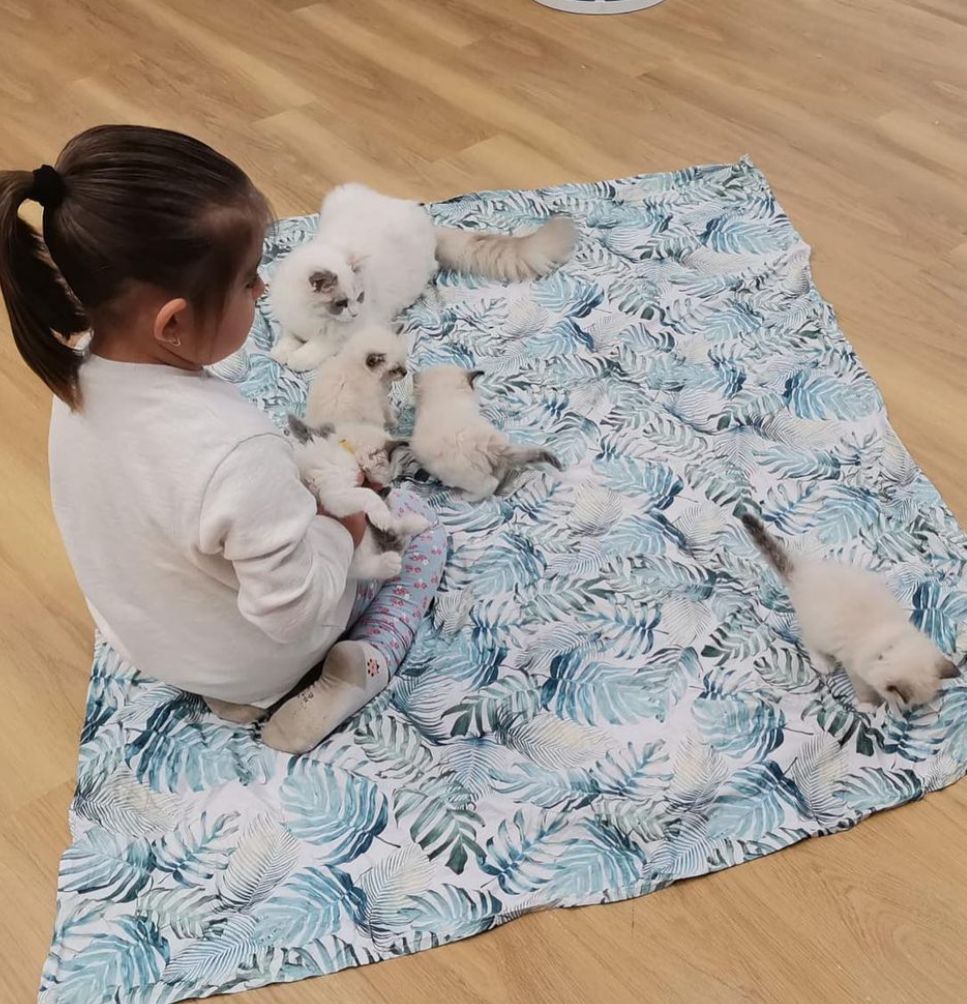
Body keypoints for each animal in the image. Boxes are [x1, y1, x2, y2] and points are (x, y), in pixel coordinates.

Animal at [269, 183, 577, 371]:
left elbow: (317, 347)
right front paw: (282, 353)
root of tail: (425, 219)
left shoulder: (352, 331)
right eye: (341, 303)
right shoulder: (290, 320)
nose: (354, 312)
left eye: (359, 298)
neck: (312, 318)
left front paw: (296, 359)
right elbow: (287, 339)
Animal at [287, 415, 426, 580]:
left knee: (394, 526)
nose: (387, 487)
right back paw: (388, 563)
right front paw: (382, 515)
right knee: (359, 568)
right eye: (391, 477)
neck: (347, 448)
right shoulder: (333, 494)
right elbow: (368, 495)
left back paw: (416, 523)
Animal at [410, 365, 561, 501]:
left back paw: (467, 497)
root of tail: (492, 446)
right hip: (498, 466)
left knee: (489, 485)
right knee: (497, 480)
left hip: (458, 473)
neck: (446, 394)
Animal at [742, 513, 958, 708]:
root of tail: (802, 572)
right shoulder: (856, 671)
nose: (904, 711)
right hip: (817, 629)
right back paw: (823, 663)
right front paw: (869, 706)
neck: (888, 643)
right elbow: (865, 692)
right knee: (807, 640)